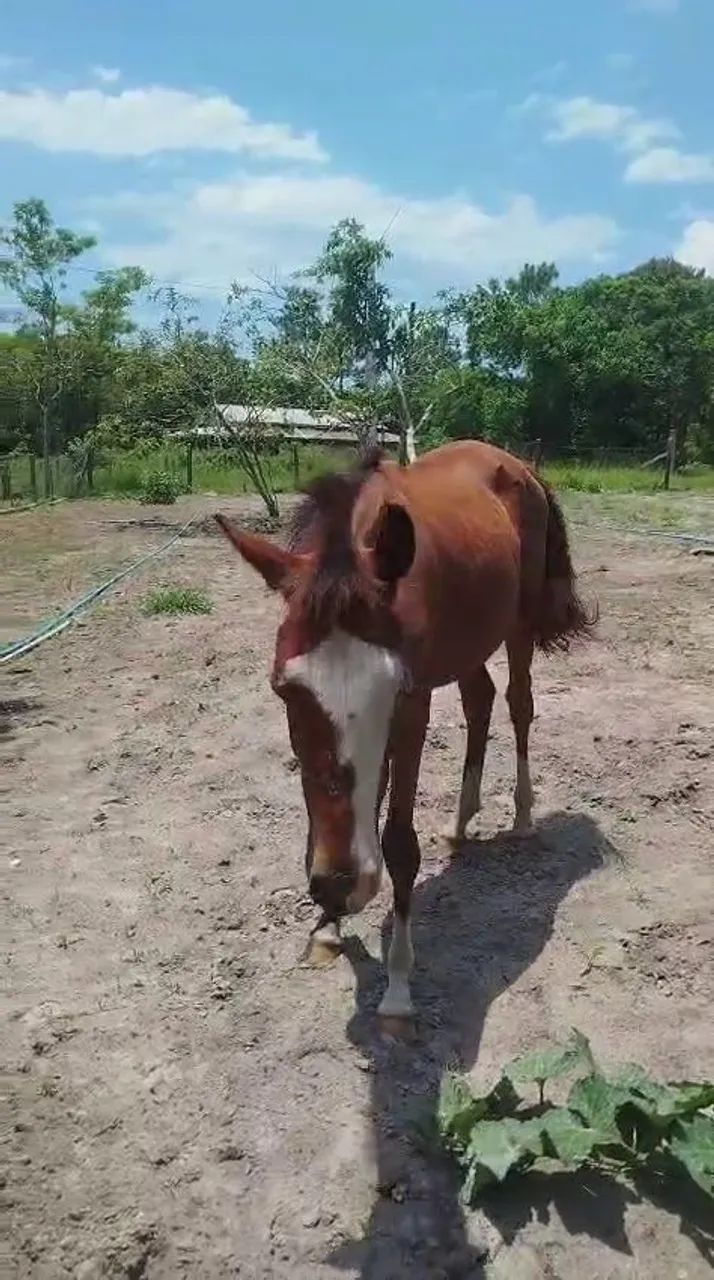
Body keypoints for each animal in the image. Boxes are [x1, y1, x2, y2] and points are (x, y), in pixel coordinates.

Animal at [216, 440, 592, 1036]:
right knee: (480, 699)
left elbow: (397, 842)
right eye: (284, 688)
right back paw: (461, 822)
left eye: (393, 689)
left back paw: (523, 816)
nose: (337, 883)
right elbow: (342, 805)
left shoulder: (411, 709)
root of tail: (519, 466)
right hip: (467, 640)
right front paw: (327, 924)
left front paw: (396, 989)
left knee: (518, 704)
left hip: (518, 625)